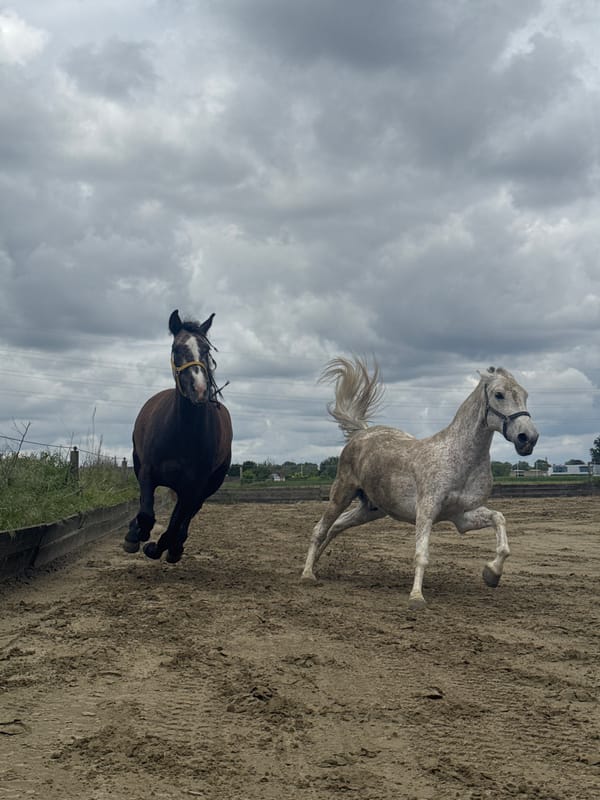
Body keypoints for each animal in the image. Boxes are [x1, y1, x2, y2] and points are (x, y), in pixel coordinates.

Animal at [123, 310, 232, 563]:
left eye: (206, 349)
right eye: (176, 348)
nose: (199, 389)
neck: (181, 433)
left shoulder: (192, 486)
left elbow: (175, 523)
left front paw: (157, 547)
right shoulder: (147, 471)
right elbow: (146, 513)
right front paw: (135, 535)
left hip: (207, 486)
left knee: (187, 516)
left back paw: (174, 547)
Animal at [302, 357, 539, 609]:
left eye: (525, 394)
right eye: (499, 394)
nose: (528, 438)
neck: (460, 460)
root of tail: (362, 433)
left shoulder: (462, 516)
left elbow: (499, 522)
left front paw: (492, 574)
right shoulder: (426, 510)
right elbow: (421, 554)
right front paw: (416, 597)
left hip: (371, 510)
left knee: (337, 526)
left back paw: (317, 563)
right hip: (342, 493)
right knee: (320, 528)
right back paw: (307, 574)